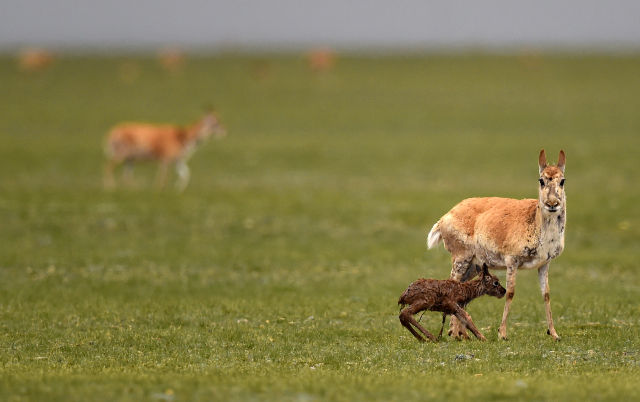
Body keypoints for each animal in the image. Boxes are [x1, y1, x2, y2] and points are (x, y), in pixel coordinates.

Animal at [428, 149, 568, 340]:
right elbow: (510, 292)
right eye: (541, 180)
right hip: (461, 259)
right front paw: (502, 334)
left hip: (473, 266)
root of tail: (446, 216)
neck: (535, 221)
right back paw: (455, 334)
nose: (552, 204)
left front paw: (554, 334)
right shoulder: (512, 261)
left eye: (562, 180)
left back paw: (461, 334)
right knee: (453, 285)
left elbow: (546, 294)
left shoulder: (544, 264)